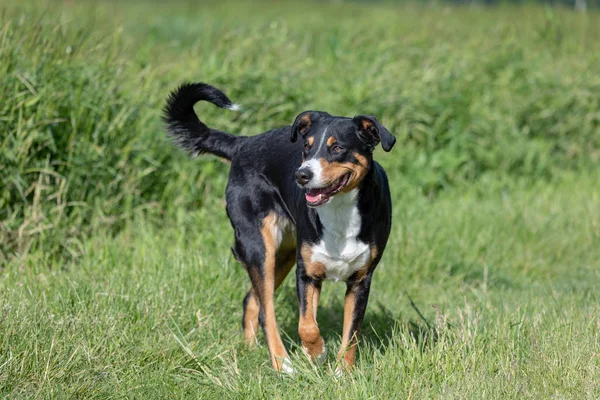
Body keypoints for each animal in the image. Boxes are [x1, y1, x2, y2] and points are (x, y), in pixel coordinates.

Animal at [163, 83, 394, 374]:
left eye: (337, 148)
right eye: (306, 148)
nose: (302, 175)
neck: (339, 211)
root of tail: (244, 143)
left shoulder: (361, 280)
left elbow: (351, 332)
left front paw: (342, 372)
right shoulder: (306, 274)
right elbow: (306, 325)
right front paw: (317, 353)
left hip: (283, 254)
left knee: (252, 300)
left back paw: (250, 348)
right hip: (260, 247)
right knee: (266, 310)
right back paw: (282, 363)